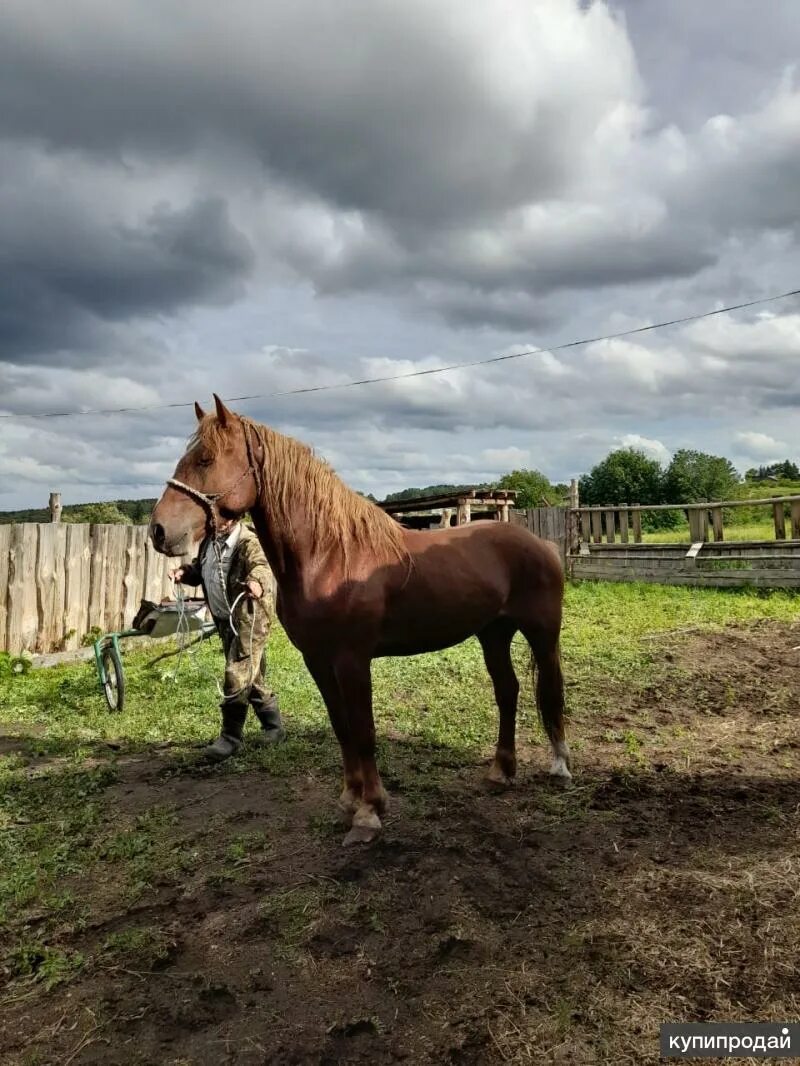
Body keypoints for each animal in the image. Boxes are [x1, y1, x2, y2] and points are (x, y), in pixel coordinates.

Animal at [150, 396, 571, 844]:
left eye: (206, 459)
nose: (159, 530)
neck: (330, 555)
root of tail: (539, 543)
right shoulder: (318, 660)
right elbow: (342, 728)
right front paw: (350, 799)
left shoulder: (352, 660)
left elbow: (364, 730)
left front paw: (370, 813)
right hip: (493, 633)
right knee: (508, 691)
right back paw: (500, 771)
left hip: (542, 633)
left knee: (551, 690)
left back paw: (560, 765)